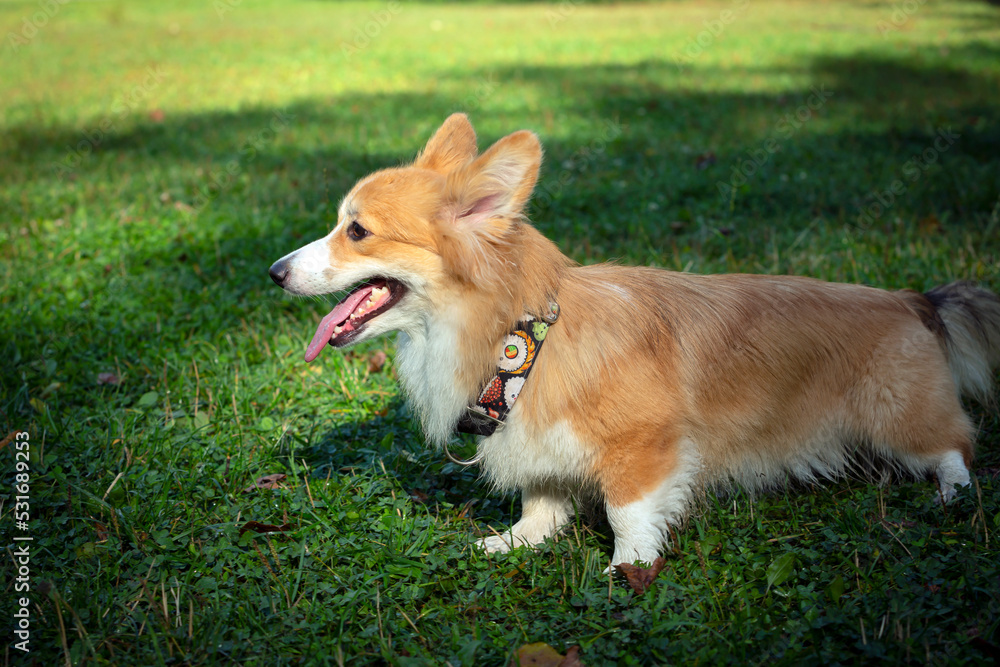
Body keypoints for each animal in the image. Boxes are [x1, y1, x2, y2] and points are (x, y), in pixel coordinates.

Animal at [268, 113, 1000, 564]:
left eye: (356, 230)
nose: (274, 272)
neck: (520, 339)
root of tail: (911, 300)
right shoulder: (538, 444)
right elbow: (540, 501)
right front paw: (516, 541)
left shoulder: (648, 446)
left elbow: (627, 513)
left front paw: (626, 570)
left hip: (899, 416)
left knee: (954, 448)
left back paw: (950, 498)